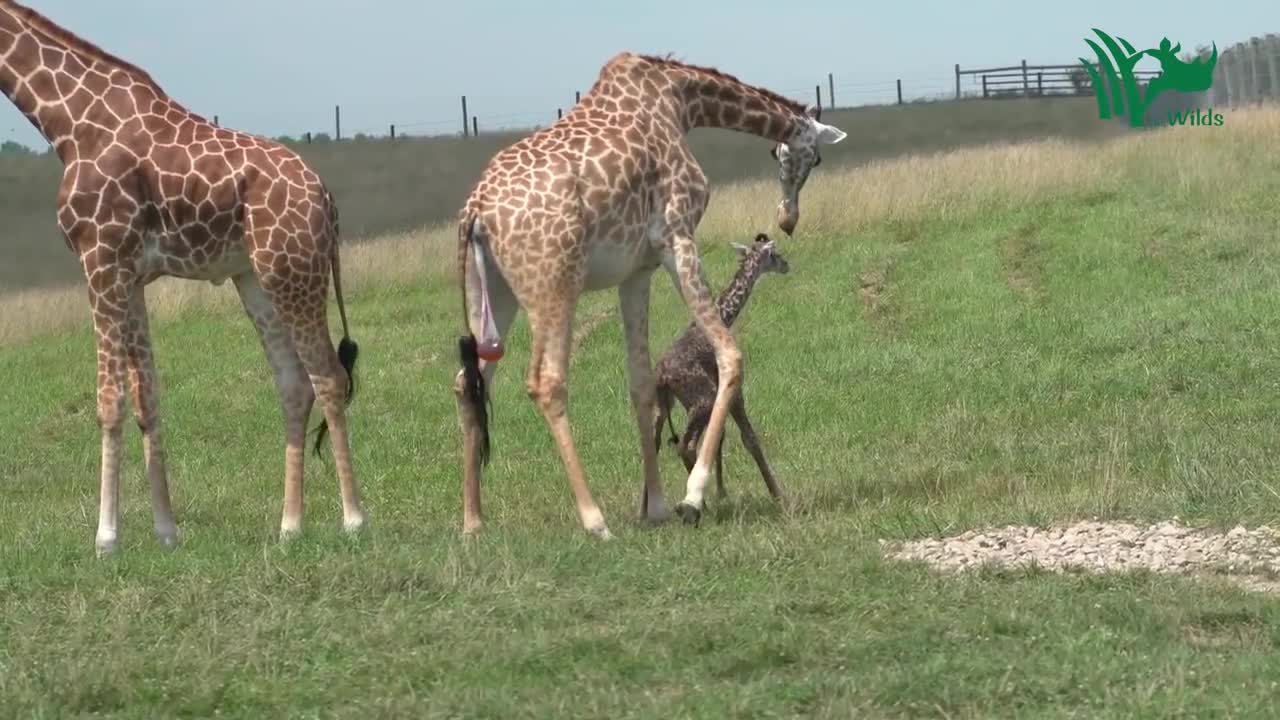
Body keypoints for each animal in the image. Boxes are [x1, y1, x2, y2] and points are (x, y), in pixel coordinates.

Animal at [1, 0, 371, 556]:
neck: (67, 122)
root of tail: (326, 197)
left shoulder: (100, 260)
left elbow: (109, 400)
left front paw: (106, 538)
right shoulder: (131, 276)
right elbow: (147, 396)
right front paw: (165, 531)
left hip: (292, 268)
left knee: (328, 375)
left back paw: (353, 519)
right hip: (255, 278)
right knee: (293, 382)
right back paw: (290, 526)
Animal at [455, 50, 844, 535]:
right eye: (817, 158)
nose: (787, 220)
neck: (681, 100)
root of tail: (475, 211)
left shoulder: (637, 269)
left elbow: (640, 383)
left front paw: (656, 507)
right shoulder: (676, 237)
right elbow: (730, 356)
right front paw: (691, 499)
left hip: (493, 292)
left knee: (468, 383)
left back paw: (473, 522)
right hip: (553, 285)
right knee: (546, 381)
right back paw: (594, 520)